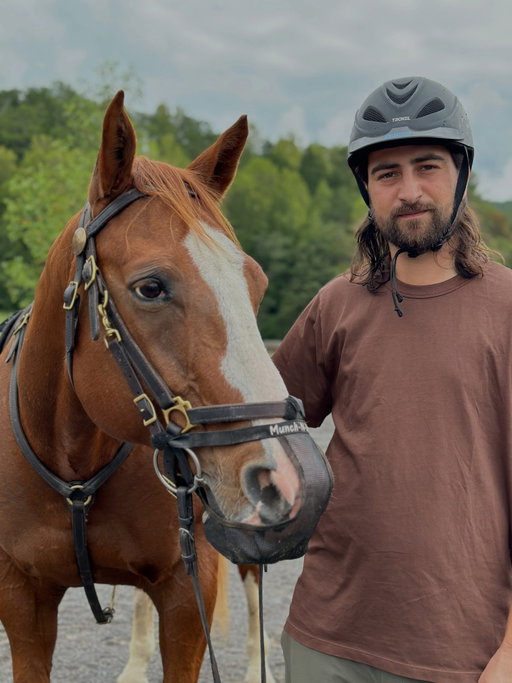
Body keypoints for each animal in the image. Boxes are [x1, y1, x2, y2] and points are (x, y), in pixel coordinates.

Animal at [0, 91, 332, 682]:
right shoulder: (22, 601)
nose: (300, 481)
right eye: (150, 287)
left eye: (256, 284)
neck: (73, 467)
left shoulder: (185, 594)